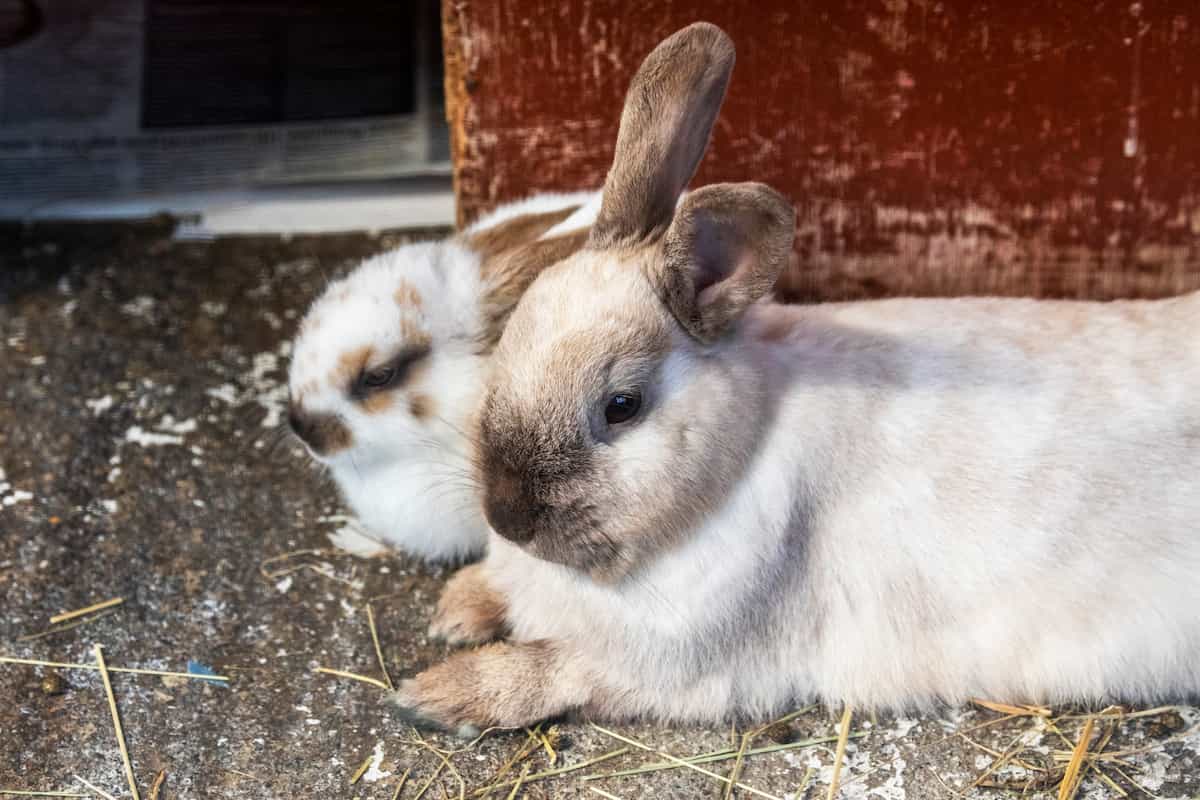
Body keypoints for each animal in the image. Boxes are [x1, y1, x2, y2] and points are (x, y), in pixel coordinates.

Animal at [390, 21, 1200, 732]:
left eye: (622, 406)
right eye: (509, 344)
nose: (506, 517)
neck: (742, 452)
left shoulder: (660, 662)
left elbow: (547, 668)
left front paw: (437, 693)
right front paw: (458, 607)